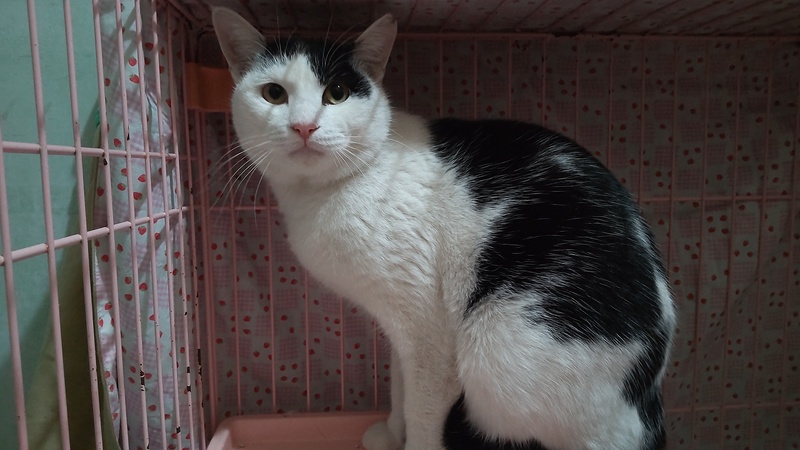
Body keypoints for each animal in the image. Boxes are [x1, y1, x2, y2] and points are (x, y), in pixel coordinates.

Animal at [212, 8, 676, 450]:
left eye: (336, 93)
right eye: (274, 93)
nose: (304, 126)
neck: (330, 191)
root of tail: (647, 402)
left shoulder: (430, 338)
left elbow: (422, 408)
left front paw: (412, 443)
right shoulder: (400, 326)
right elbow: (399, 387)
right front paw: (390, 434)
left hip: (497, 353)